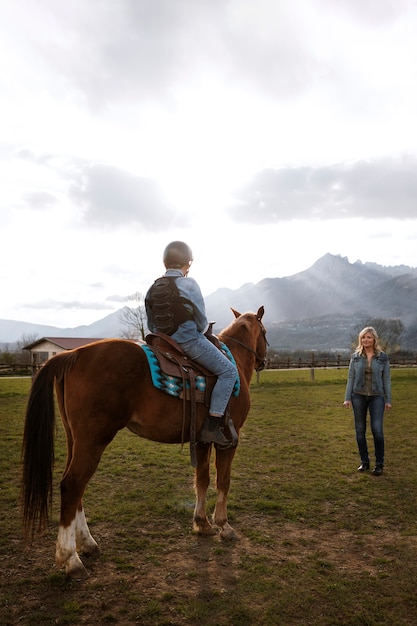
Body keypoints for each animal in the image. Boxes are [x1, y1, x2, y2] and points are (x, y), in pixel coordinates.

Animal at [21, 304, 266, 576]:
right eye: (265, 332)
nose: (263, 361)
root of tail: (74, 354)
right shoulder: (229, 441)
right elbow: (223, 481)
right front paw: (224, 526)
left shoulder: (203, 440)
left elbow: (201, 480)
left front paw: (202, 524)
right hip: (92, 440)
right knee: (72, 485)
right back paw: (71, 559)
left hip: (75, 440)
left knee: (76, 489)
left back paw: (87, 544)